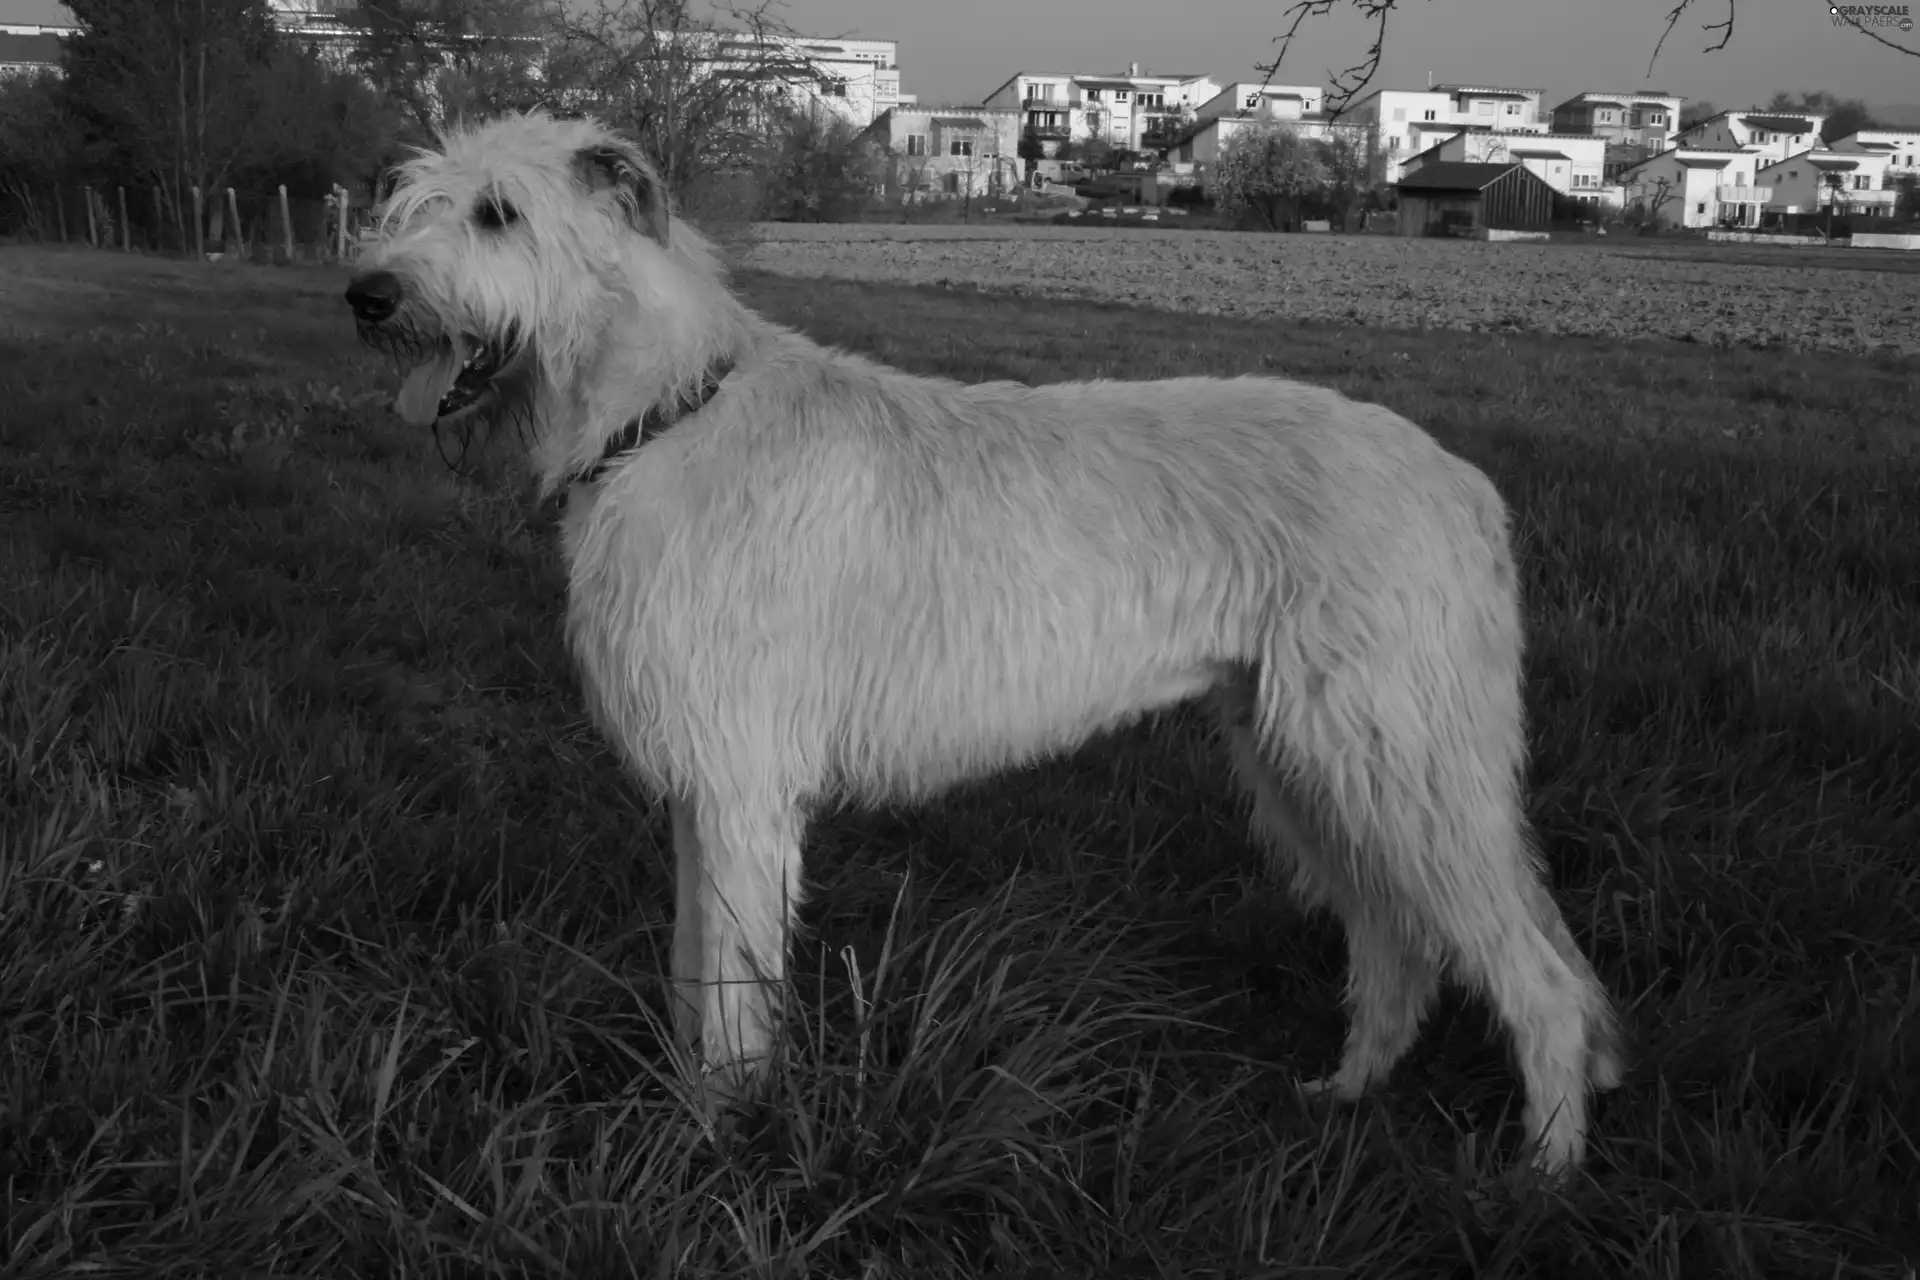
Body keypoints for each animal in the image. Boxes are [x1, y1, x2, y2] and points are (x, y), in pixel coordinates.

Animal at [341, 115, 1620, 1174]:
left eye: (498, 212)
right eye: (409, 197)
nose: (365, 293)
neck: (663, 416)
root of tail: (1465, 483)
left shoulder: (743, 785)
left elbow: (734, 993)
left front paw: (710, 1140)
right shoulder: (707, 791)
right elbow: (695, 963)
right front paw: (690, 1107)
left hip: (1394, 753)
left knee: (1535, 970)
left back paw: (1543, 1172)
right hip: (1310, 756)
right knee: (1399, 939)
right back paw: (1347, 1090)